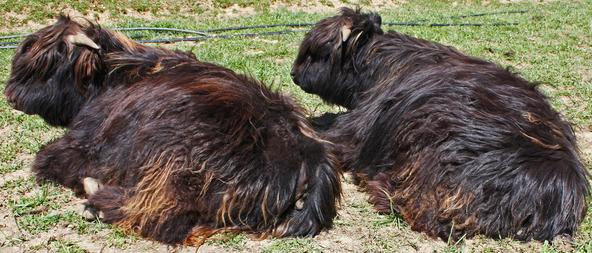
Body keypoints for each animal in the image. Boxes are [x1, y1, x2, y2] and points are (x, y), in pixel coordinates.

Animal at [4, 15, 340, 245]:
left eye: (46, 65)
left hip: (171, 164)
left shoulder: (85, 142)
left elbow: (47, 159)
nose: (11, 97)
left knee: (162, 217)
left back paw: (96, 202)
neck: (113, 76)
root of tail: (312, 162)